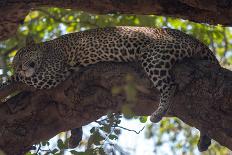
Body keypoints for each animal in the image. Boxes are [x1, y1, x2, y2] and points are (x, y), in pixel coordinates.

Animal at [0, 26, 219, 151]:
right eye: (15, 63)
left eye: (22, 57)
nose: (19, 66)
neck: (45, 49)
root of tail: (194, 39)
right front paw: (75, 137)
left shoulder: (50, 74)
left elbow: (20, 79)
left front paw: (8, 82)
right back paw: (204, 141)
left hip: (154, 56)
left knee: (170, 85)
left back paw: (158, 113)